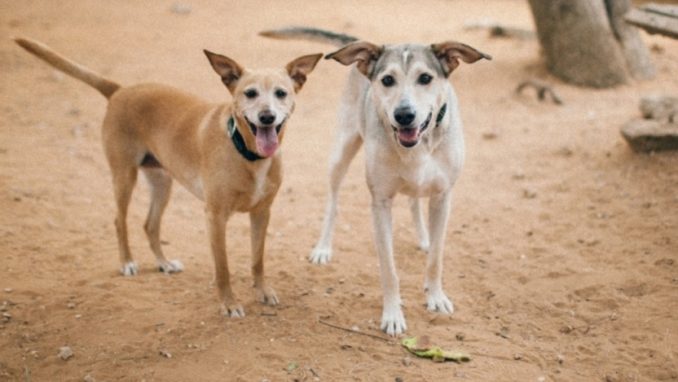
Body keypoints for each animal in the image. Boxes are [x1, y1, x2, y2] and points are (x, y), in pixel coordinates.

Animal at [15, 36, 324, 316]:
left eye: (281, 93)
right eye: (250, 93)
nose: (267, 117)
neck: (247, 153)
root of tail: (120, 90)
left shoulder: (262, 212)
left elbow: (258, 259)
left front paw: (262, 291)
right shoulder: (215, 216)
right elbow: (222, 268)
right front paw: (229, 303)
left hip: (162, 182)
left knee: (150, 225)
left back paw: (163, 263)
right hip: (124, 175)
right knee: (119, 220)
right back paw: (127, 262)